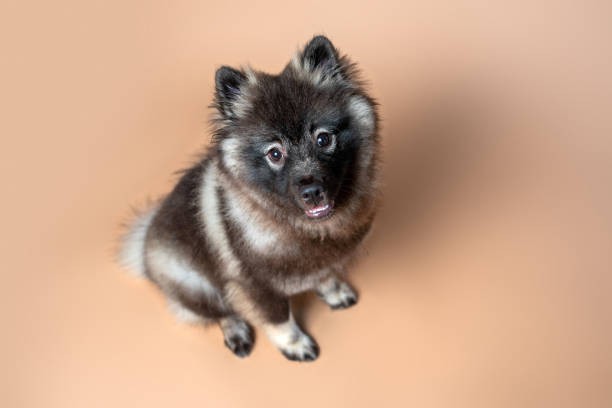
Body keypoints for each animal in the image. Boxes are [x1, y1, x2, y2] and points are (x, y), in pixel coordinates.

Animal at [118, 34, 378, 360]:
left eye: (323, 139)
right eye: (275, 154)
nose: (311, 191)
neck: (302, 228)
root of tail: (144, 241)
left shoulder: (321, 263)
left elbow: (325, 276)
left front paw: (334, 292)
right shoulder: (255, 286)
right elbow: (279, 319)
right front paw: (295, 345)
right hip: (196, 286)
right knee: (220, 312)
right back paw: (237, 332)